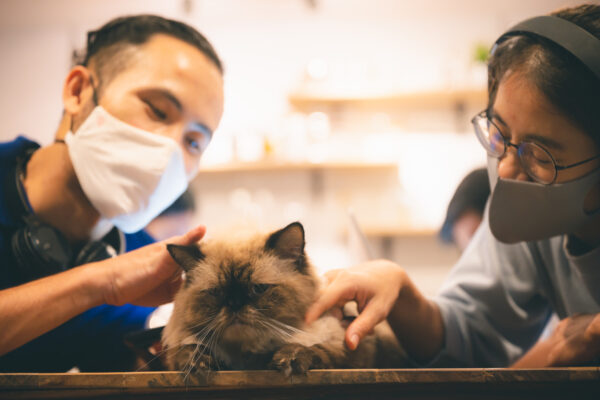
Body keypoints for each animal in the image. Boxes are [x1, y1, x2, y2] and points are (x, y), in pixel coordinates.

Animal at [163, 222, 408, 376]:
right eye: (216, 292)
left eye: (258, 288)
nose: (234, 305)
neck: (247, 358)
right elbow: (187, 350)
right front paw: (197, 363)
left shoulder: (354, 348)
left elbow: (316, 347)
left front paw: (289, 359)